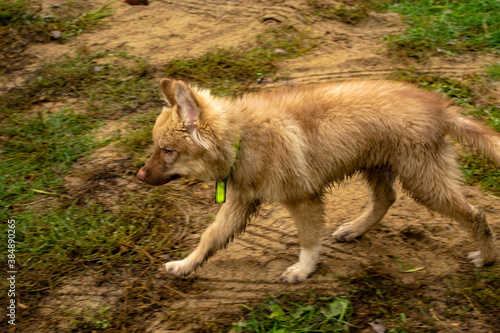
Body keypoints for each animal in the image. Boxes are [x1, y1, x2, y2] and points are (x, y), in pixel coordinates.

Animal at [137, 78, 500, 282]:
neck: (243, 137)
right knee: (385, 199)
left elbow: (309, 240)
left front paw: (303, 271)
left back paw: (486, 257)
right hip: (377, 165)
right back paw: (355, 229)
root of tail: (441, 109)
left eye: (168, 151)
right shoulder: (241, 203)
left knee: (476, 215)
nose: (139, 176)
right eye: (157, 147)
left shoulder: (304, 199)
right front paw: (185, 266)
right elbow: (209, 238)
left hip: (423, 180)